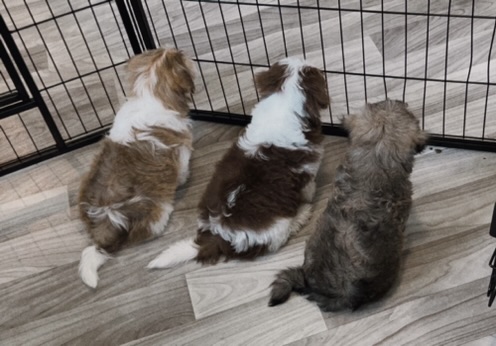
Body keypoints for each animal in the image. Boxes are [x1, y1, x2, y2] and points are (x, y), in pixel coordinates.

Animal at [77, 47, 194, 288]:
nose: (182, 49)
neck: (150, 92)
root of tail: (106, 220)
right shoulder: (181, 153)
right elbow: (182, 168)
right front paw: (184, 179)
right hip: (157, 212)